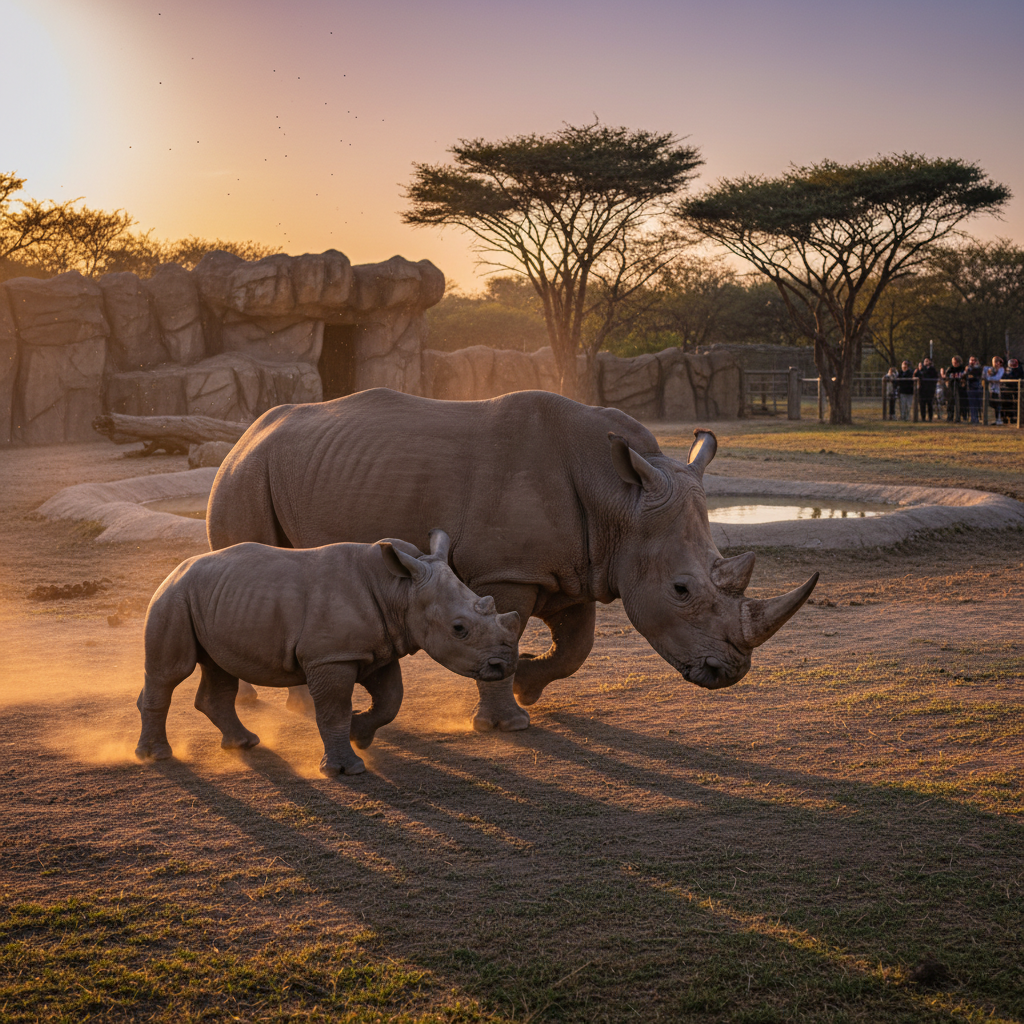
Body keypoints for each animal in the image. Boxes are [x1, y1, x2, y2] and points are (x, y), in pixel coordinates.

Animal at [135, 529, 520, 775]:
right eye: (459, 629)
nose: (504, 666)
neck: (399, 590)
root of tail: (175, 569)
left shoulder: (377, 649)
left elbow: (391, 700)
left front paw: (360, 734)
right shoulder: (331, 657)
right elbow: (334, 710)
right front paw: (345, 769)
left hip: (215, 599)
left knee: (219, 669)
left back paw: (244, 744)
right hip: (174, 596)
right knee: (171, 672)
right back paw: (156, 757)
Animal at [207, 389, 818, 731]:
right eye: (682, 590)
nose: (728, 673)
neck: (620, 500)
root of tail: (247, 431)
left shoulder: (583, 566)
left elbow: (576, 647)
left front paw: (527, 681)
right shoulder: (507, 571)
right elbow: (511, 629)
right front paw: (509, 723)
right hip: (245, 474)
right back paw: (281, 709)